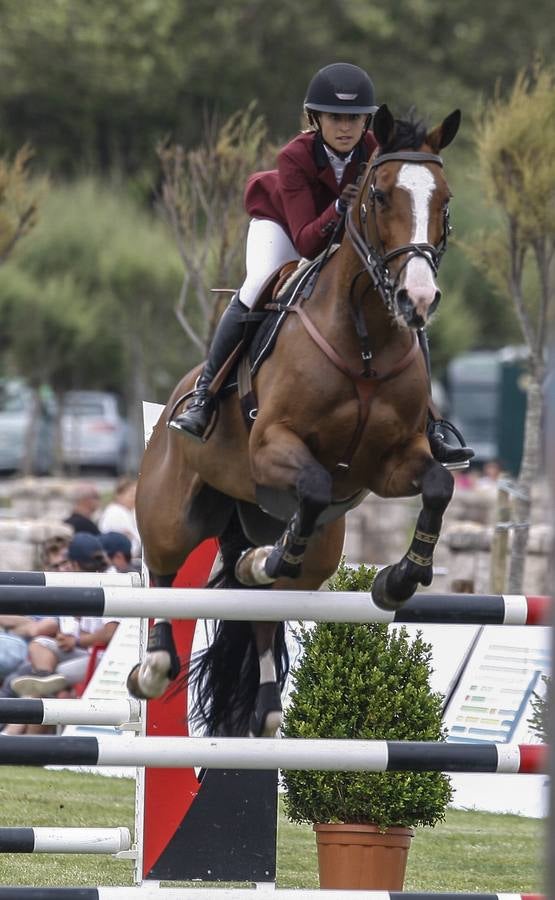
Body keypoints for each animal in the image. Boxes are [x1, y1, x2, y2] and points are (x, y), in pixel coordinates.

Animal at [129, 105, 460, 740]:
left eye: (446, 201)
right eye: (380, 195)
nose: (418, 298)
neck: (365, 341)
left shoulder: (390, 463)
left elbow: (438, 484)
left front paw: (398, 580)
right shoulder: (272, 446)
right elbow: (311, 483)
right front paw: (274, 556)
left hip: (316, 545)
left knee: (266, 602)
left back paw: (265, 705)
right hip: (172, 510)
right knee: (163, 569)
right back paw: (155, 666)